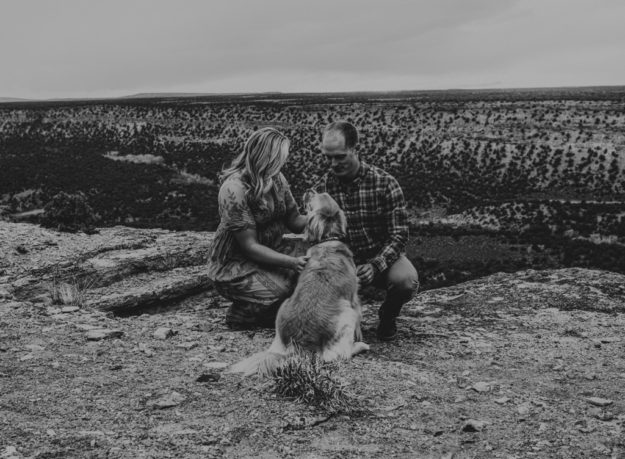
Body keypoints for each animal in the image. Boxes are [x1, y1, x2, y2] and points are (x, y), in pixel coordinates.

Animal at [228, 191, 366, 378]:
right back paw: (360, 346)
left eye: (320, 194)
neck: (327, 240)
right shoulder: (354, 300)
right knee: (338, 354)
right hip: (346, 313)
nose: (309, 190)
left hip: (283, 309)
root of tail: (298, 346)